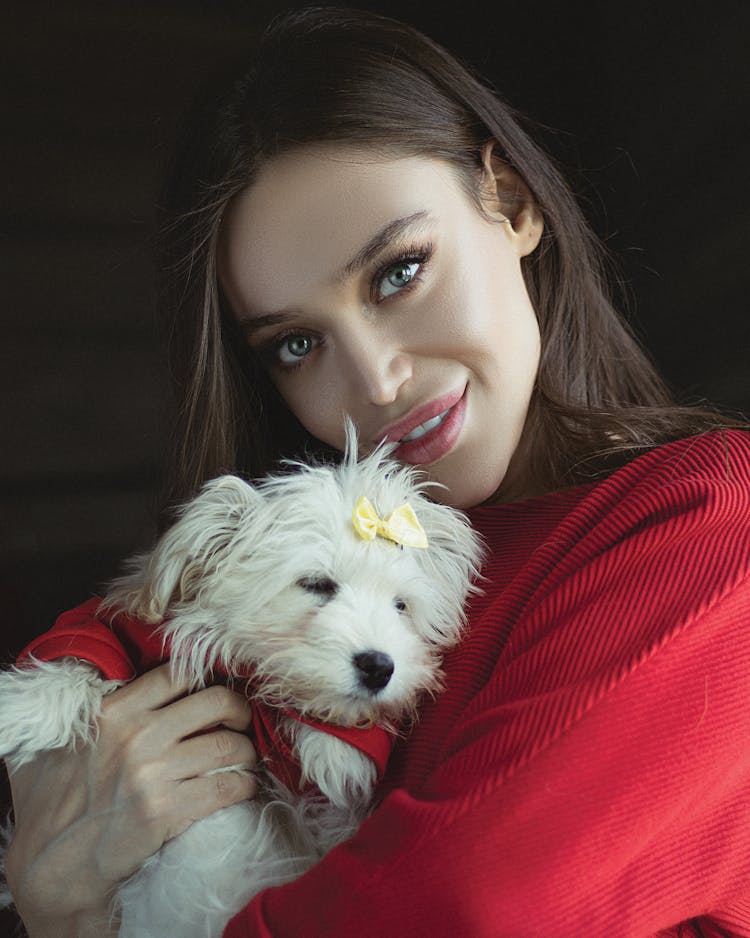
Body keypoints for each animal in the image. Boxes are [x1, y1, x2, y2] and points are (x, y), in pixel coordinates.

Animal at [0, 434, 482, 936]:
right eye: (316, 584)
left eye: (400, 606)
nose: (379, 667)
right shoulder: (120, 629)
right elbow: (83, 649)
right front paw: (19, 711)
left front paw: (330, 743)